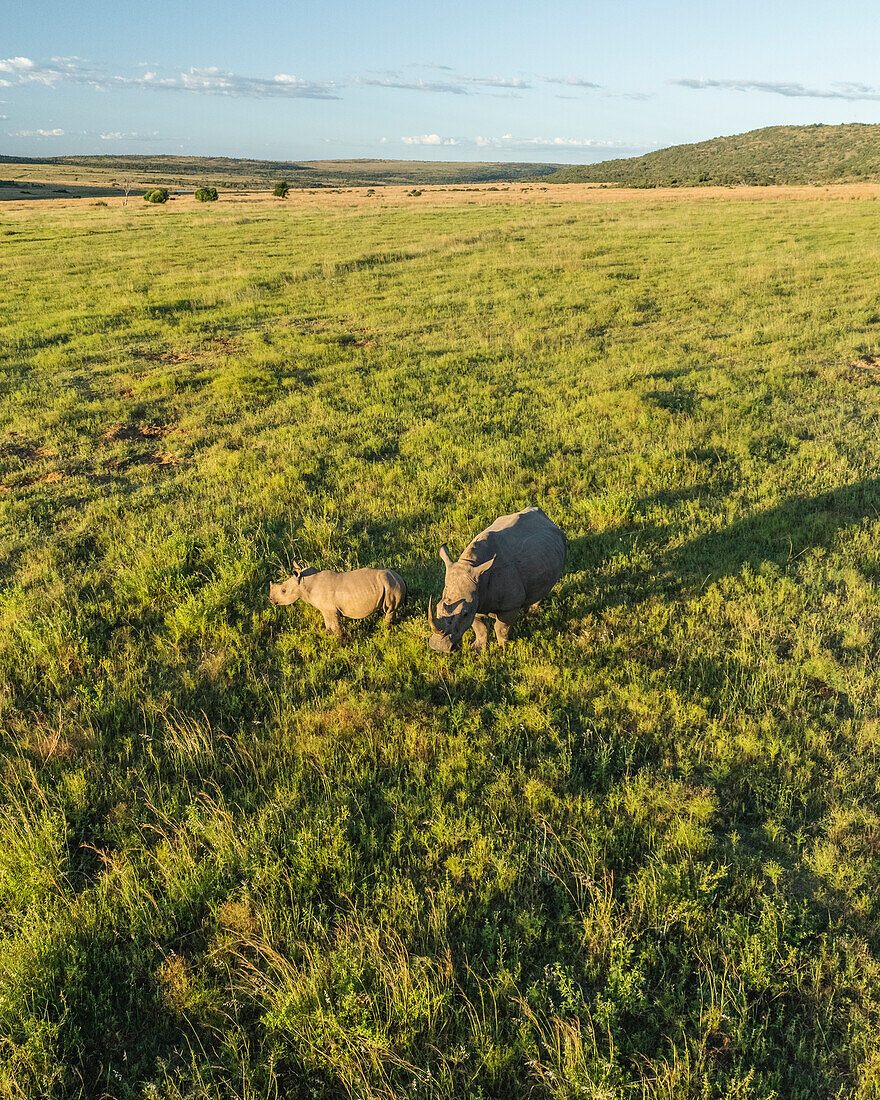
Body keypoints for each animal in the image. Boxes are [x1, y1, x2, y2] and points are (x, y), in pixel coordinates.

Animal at [269, 565, 407, 638]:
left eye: (283, 591)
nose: (270, 599)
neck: (303, 584)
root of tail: (400, 577)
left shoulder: (331, 610)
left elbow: (335, 626)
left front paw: (339, 642)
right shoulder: (326, 609)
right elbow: (328, 624)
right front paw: (326, 636)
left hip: (392, 584)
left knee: (389, 609)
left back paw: (383, 629)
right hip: (391, 583)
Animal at [428, 506, 566, 653]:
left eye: (464, 614)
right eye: (437, 607)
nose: (439, 647)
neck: (470, 564)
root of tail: (543, 515)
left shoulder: (509, 606)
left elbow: (501, 628)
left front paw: (503, 648)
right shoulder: (476, 599)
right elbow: (479, 627)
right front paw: (477, 648)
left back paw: (532, 614)